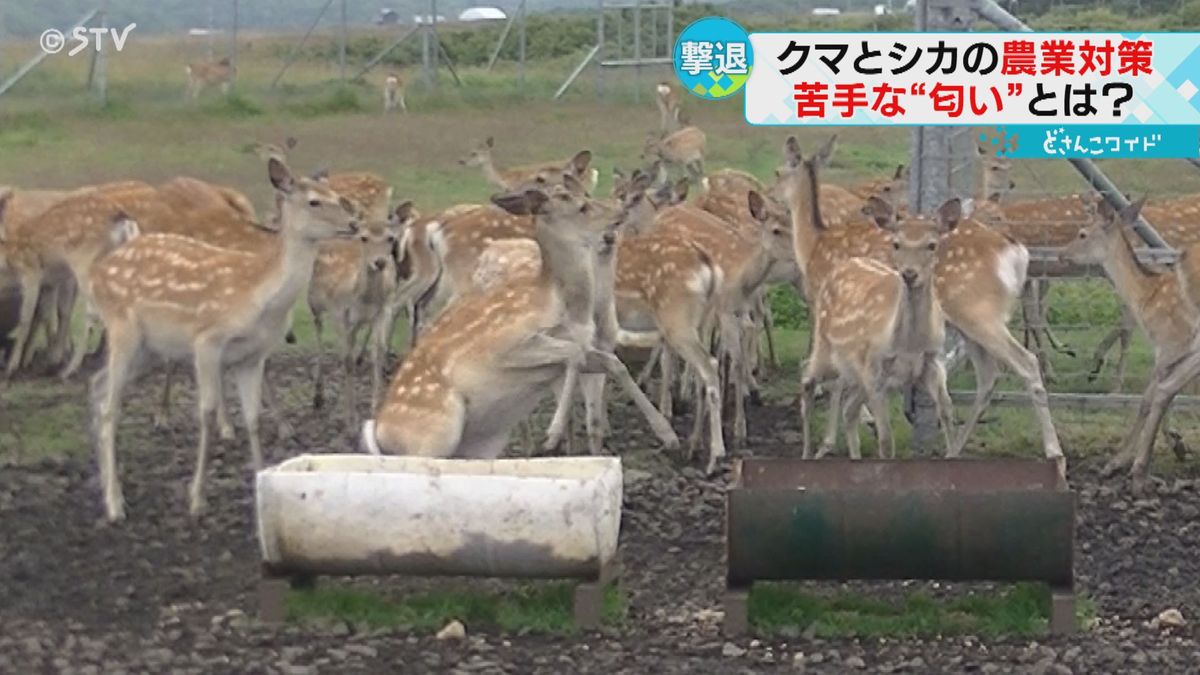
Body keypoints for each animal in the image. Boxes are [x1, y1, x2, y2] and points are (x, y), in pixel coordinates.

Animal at [87, 158, 357, 521]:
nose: (354, 224)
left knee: (97, 385)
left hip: (150, 349)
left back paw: (106, 486)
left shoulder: (252, 356)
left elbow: (254, 418)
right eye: (314, 201)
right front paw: (196, 499)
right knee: (110, 406)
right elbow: (207, 414)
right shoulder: (207, 341)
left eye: (338, 196)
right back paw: (115, 504)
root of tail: (97, 272)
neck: (257, 298)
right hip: (122, 329)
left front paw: (259, 482)